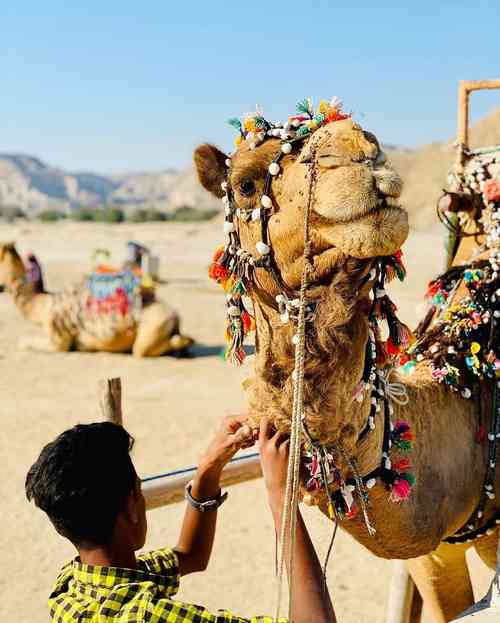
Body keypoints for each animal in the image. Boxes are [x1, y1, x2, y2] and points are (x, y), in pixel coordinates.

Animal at [0, 241, 193, 356]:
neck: (43, 306)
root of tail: (175, 315)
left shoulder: (59, 341)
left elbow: (23, 342)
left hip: (150, 331)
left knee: (143, 349)